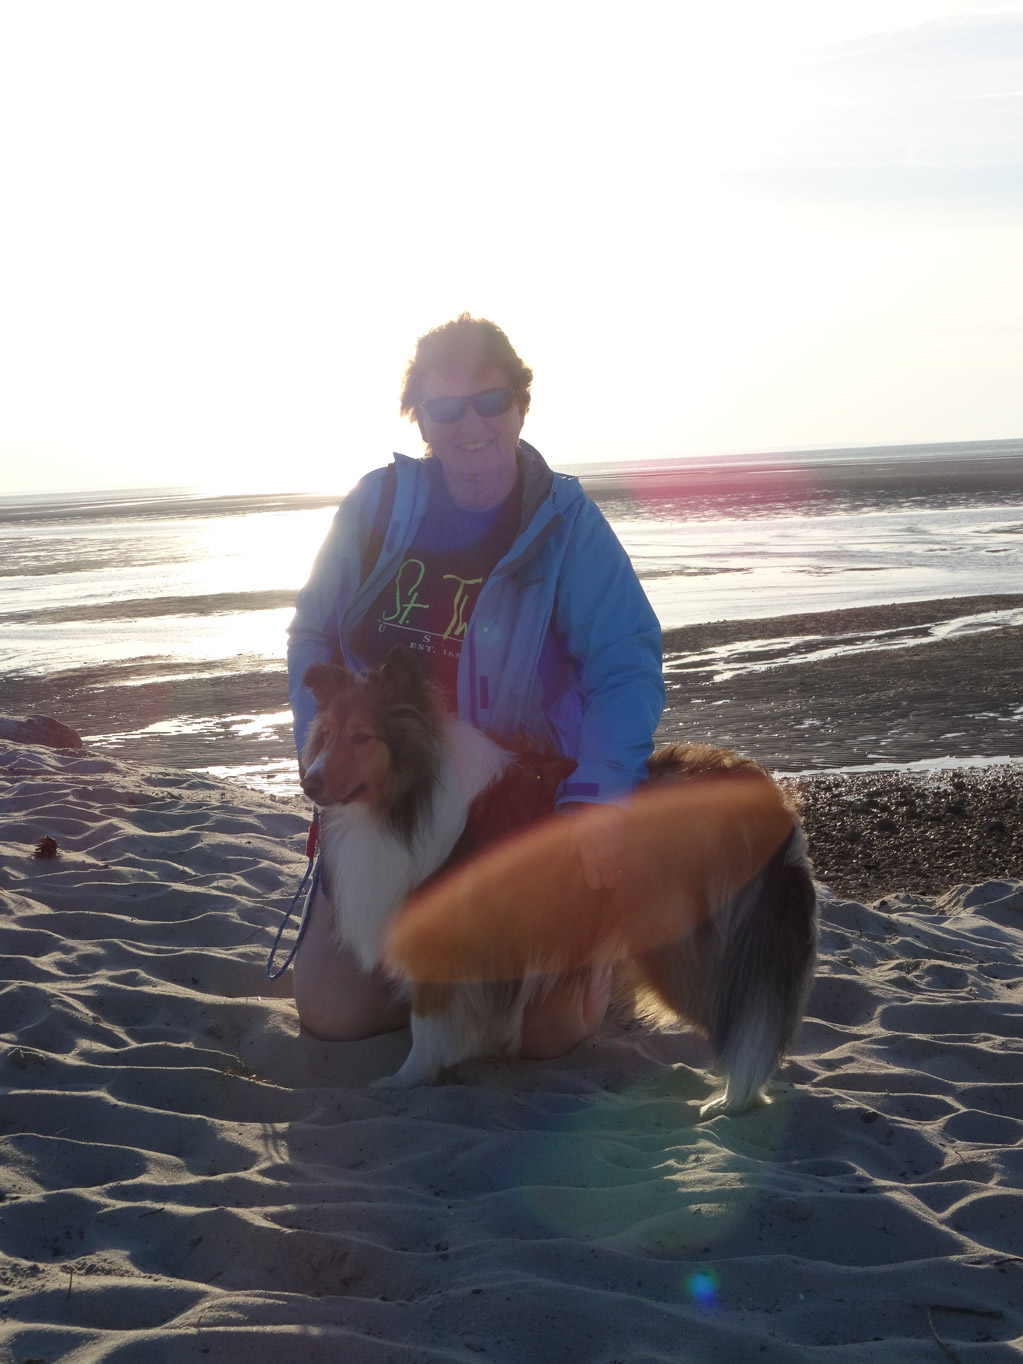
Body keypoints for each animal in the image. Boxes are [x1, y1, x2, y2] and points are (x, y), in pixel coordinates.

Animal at [299, 647, 817, 1115]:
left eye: (362, 737)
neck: (410, 800)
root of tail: (772, 805)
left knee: (743, 1020)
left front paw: (405, 1080)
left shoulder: (439, 937)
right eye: (326, 735)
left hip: (682, 948)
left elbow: (425, 1023)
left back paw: (733, 1100)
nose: (309, 783)